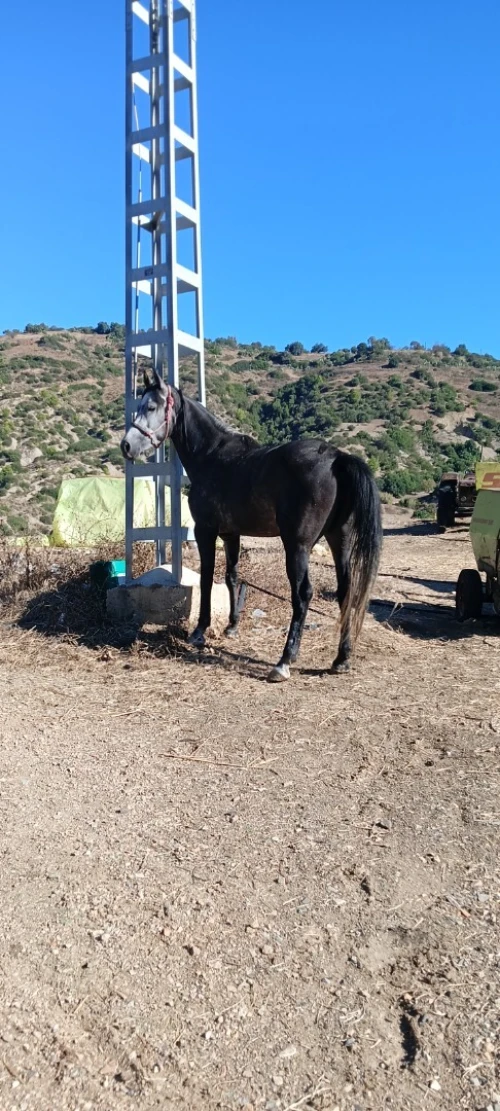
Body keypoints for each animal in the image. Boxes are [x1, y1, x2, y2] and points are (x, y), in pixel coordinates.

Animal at [121, 370, 382, 682]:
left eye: (151, 407)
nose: (126, 446)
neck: (211, 456)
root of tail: (336, 457)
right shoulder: (231, 534)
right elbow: (232, 576)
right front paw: (232, 626)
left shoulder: (205, 531)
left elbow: (207, 578)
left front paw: (200, 630)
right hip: (338, 539)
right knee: (346, 590)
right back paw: (342, 658)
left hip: (297, 546)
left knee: (303, 594)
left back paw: (284, 661)